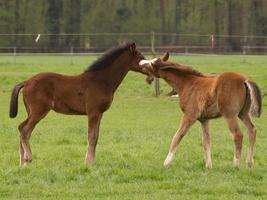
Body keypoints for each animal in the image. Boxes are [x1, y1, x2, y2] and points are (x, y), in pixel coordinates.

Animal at [9, 42, 149, 166]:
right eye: (141, 57)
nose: (150, 69)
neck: (102, 81)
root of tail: (26, 82)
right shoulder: (93, 112)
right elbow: (91, 136)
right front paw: (88, 163)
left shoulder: (100, 114)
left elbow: (96, 137)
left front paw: (92, 161)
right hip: (39, 110)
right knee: (24, 129)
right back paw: (28, 158)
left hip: (30, 111)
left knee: (25, 131)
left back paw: (23, 163)